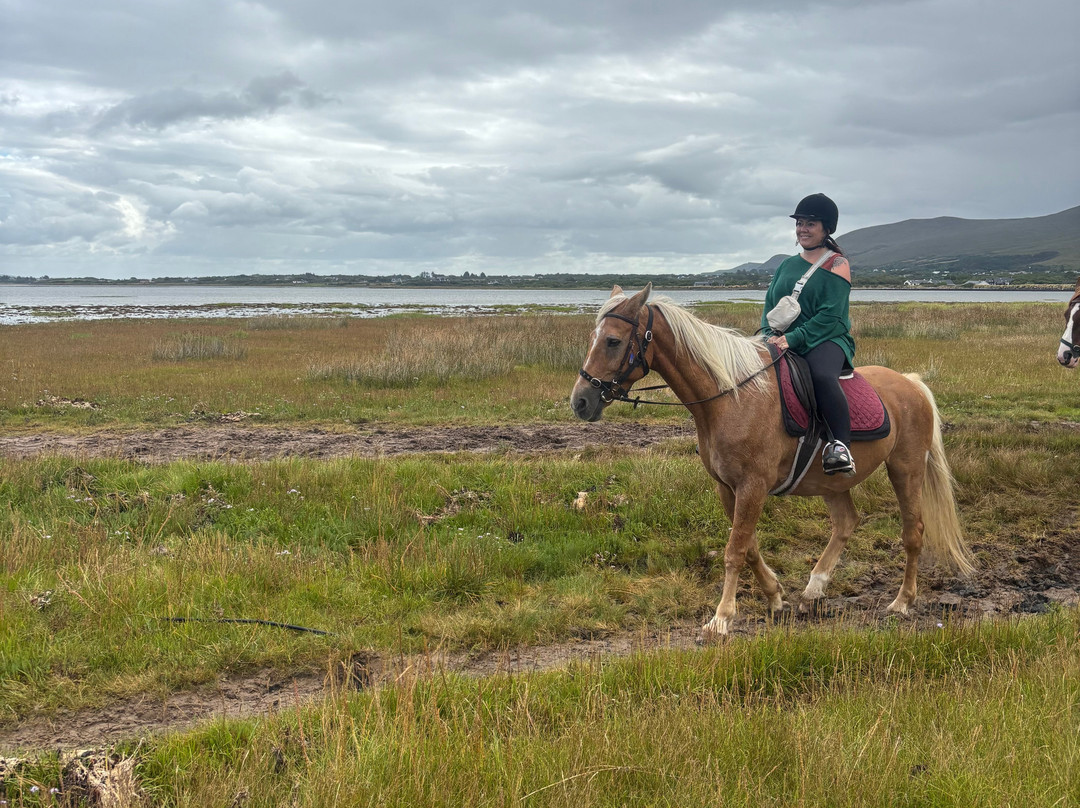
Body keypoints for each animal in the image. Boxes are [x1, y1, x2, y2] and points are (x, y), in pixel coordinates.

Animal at [570, 284, 975, 639]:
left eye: (613, 341)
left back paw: (902, 602)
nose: (580, 402)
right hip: (833, 480)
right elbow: (748, 546)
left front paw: (721, 618)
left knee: (913, 532)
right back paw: (814, 588)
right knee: (846, 522)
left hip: (905, 468)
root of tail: (911, 383)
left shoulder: (753, 486)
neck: (731, 397)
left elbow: (734, 550)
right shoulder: (728, 487)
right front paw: (776, 596)